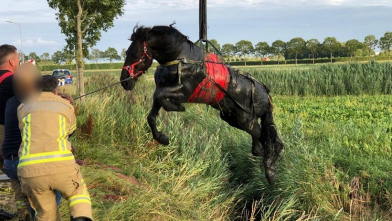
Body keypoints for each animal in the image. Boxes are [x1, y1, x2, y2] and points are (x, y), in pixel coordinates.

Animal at [119, 25, 282, 185]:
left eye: (134, 53)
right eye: (127, 52)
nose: (124, 82)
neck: (181, 58)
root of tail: (265, 92)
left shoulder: (183, 92)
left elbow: (160, 96)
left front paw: (176, 107)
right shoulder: (162, 89)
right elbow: (152, 114)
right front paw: (162, 138)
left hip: (245, 119)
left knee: (270, 140)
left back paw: (271, 171)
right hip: (233, 118)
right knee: (261, 140)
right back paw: (261, 154)